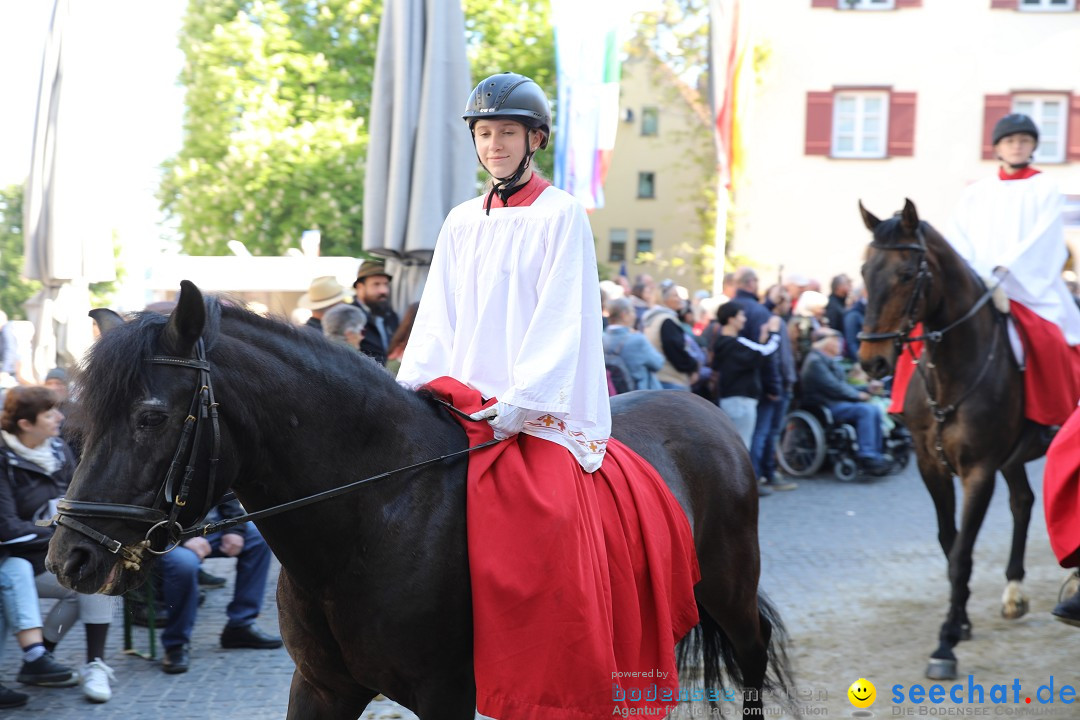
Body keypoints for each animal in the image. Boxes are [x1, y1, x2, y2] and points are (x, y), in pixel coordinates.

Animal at [44, 280, 794, 720]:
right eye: (80, 422)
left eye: (150, 417)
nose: (68, 558)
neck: (374, 518)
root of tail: (702, 407)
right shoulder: (322, 688)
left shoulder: (448, 693)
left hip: (728, 591)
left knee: (753, 656)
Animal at [855, 201, 1049, 682]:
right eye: (865, 270)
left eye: (907, 273)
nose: (872, 361)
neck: (951, 372)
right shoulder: (932, 466)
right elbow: (949, 540)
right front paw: (959, 620)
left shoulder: (979, 471)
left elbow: (962, 553)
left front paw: (945, 643)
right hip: (1011, 459)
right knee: (1023, 502)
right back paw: (1013, 591)